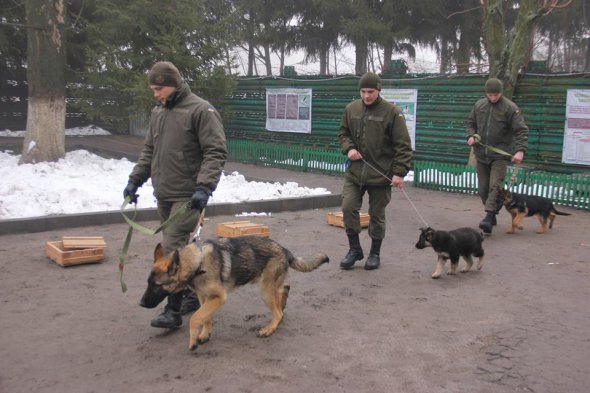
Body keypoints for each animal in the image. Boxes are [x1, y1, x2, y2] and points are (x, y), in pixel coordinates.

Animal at [141, 234, 330, 350]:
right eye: (148, 283)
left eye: (157, 285)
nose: (141, 303)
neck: (197, 263)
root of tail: (283, 249)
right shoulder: (204, 297)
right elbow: (205, 317)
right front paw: (205, 334)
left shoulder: (218, 297)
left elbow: (195, 317)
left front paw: (193, 341)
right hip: (270, 286)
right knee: (285, 289)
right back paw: (281, 306)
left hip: (265, 290)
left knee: (277, 312)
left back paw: (270, 328)